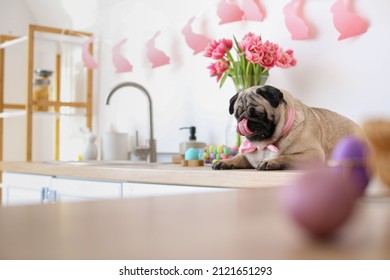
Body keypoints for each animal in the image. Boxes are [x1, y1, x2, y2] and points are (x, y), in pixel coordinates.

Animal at [213, 84, 362, 170]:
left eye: (258, 114)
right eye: (237, 115)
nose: (243, 121)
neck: (265, 144)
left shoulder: (312, 154)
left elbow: (287, 157)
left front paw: (270, 162)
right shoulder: (247, 156)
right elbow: (238, 158)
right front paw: (225, 162)